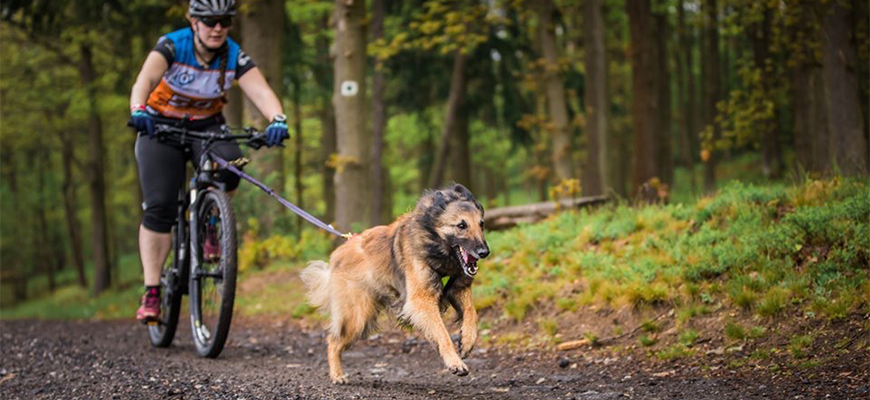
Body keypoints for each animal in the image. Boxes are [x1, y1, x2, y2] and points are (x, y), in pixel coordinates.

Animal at [300, 184, 490, 384]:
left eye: (481, 224)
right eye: (461, 225)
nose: (484, 252)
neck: (433, 243)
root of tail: (337, 254)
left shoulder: (458, 289)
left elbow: (472, 312)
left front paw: (468, 340)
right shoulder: (421, 301)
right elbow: (442, 332)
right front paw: (455, 362)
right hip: (356, 317)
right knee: (333, 342)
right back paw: (337, 375)